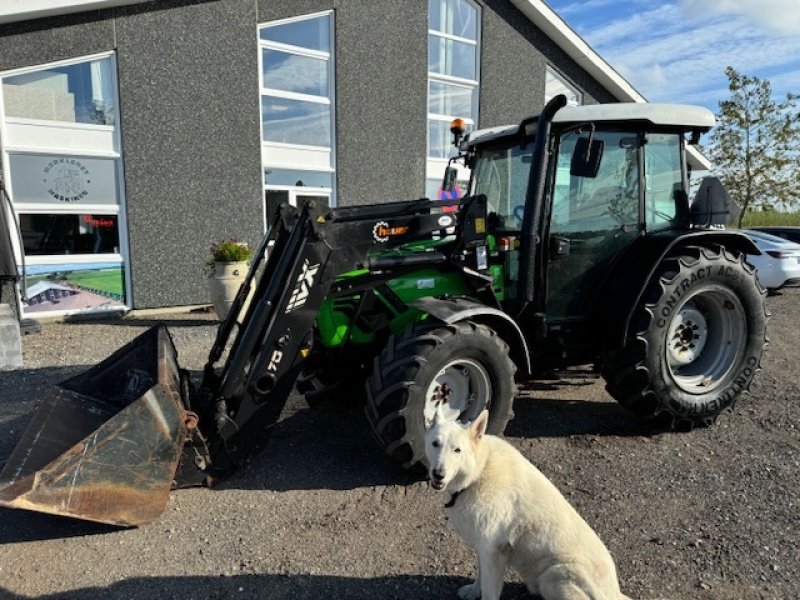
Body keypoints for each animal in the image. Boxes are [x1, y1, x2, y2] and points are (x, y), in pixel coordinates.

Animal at [424, 410, 632, 600]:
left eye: (457, 450)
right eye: (435, 444)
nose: (438, 474)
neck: (479, 472)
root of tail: (615, 593)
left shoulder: (493, 551)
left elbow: (489, 590)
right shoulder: (484, 547)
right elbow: (480, 576)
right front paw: (474, 592)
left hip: (554, 574)